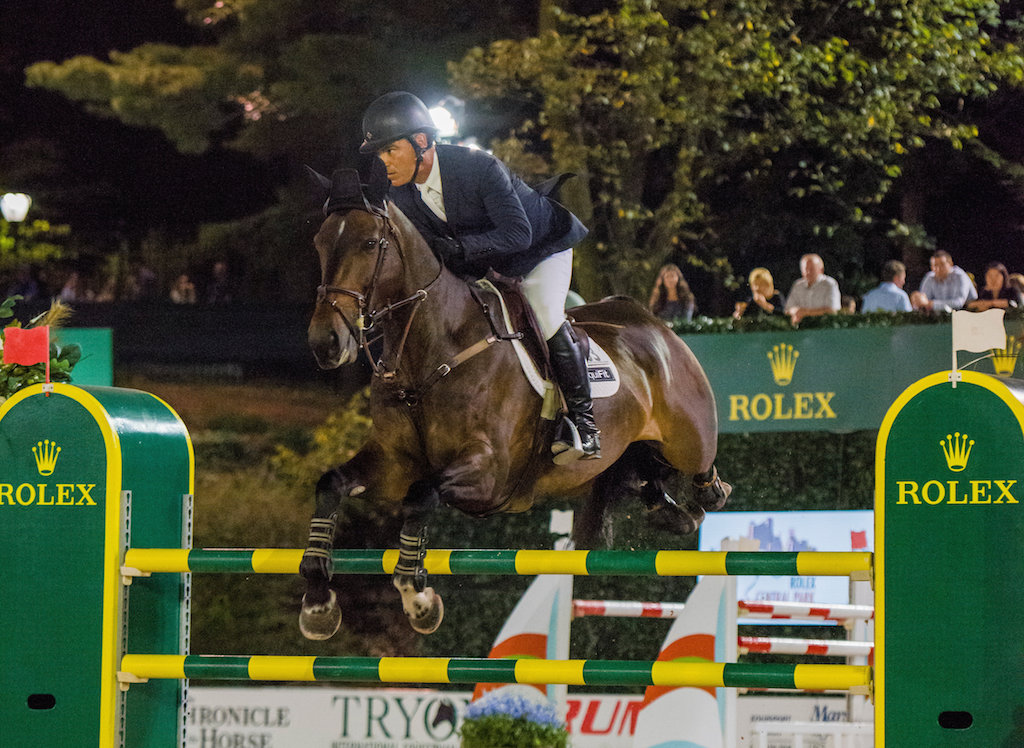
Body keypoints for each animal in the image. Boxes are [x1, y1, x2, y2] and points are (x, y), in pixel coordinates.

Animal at [296, 168, 729, 635]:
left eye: (371, 243)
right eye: (319, 242)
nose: (325, 343)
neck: (432, 350)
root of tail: (653, 324)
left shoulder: (490, 472)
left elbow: (421, 495)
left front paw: (418, 598)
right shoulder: (394, 462)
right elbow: (332, 484)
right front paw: (318, 602)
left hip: (688, 439)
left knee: (700, 468)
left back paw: (709, 493)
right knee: (646, 475)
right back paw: (668, 510)